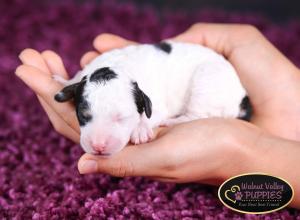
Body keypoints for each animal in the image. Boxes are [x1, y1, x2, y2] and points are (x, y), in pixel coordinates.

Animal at [54, 41, 251, 155]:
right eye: (83, 116)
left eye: (121, 118)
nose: (98, 146)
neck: (118, 66)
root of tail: (242, 97)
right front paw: (65, 80)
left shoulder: (156, 103)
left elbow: (151, 114)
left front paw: (140, 129)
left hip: (207, 81)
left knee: (197, 115)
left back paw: (174, 121)